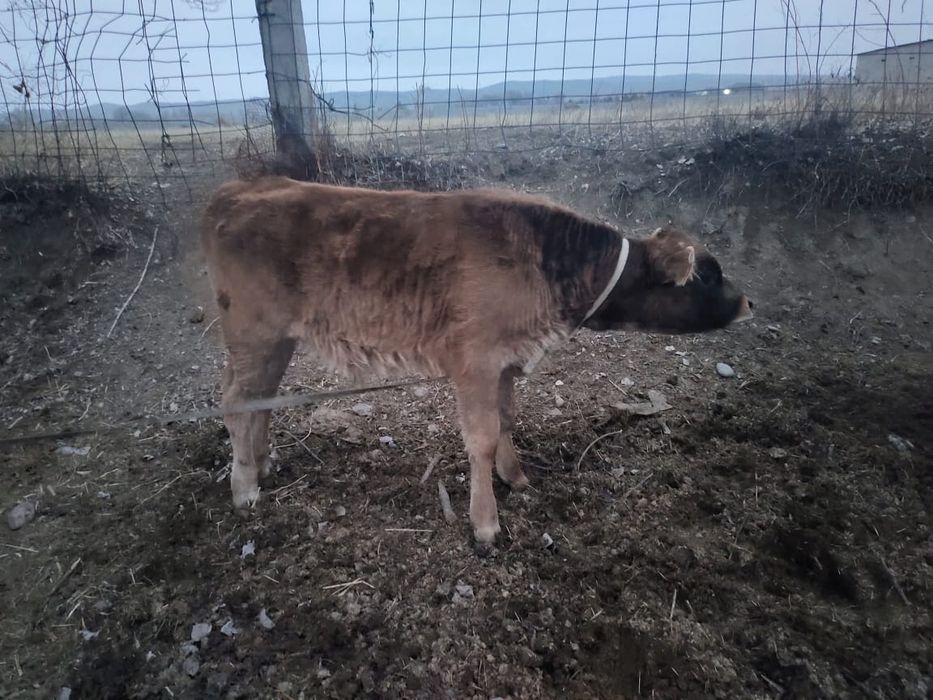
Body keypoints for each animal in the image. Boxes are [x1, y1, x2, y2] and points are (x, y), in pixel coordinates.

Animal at [201, 177, 752, 543]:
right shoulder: (475, 364)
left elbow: (507, 420)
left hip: (277, 340)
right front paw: (485, 522)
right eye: (709, 274)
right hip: (253, 333)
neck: (550, 261)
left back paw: (263, 465)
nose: (748, 302)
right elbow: (482, 439)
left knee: (259, 398)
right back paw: (244, 487)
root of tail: (243, 188)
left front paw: (516, 476)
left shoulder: (506, 362)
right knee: (234, 399)